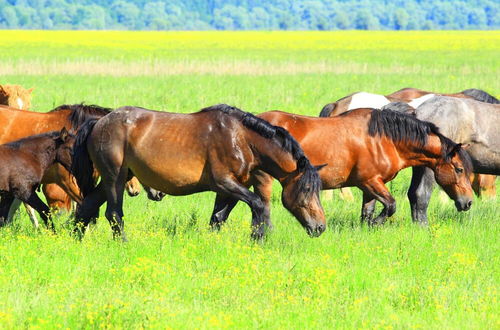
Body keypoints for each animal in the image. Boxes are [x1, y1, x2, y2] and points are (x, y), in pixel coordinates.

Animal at [72, 104, 326, 240]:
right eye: (306, 188)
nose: (320, 227)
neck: (242, 139)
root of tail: (99, 122)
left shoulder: (229, 189)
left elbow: (217, 218)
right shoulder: (225, 183)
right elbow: (259, 205)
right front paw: (258, 238)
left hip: (116, 178)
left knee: (87, 206)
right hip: (114, 177)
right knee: (114, 213)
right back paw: (124, 244)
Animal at [256, 108, 474, 227]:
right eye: (459, 169)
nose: (469, 202)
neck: (383, 140)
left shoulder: (370, 187)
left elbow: (367, 213)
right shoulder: (370, 182)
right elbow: (391, 206)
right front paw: (377, 223)